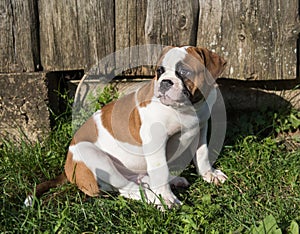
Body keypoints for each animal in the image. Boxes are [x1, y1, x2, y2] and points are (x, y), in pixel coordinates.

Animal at [25, 45, 227, 208]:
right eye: (159, 71)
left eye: (184, 72)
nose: (164, 82)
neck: (187, 108)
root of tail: (67, 168)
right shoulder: (155, 140)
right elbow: (160, 169)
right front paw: (167, 198)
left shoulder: (201, 129)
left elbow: (202, 155)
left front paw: (209, 174)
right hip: (95, 157)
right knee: (127, 189)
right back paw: (155, 198)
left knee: (142, 180)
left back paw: (172, 180)